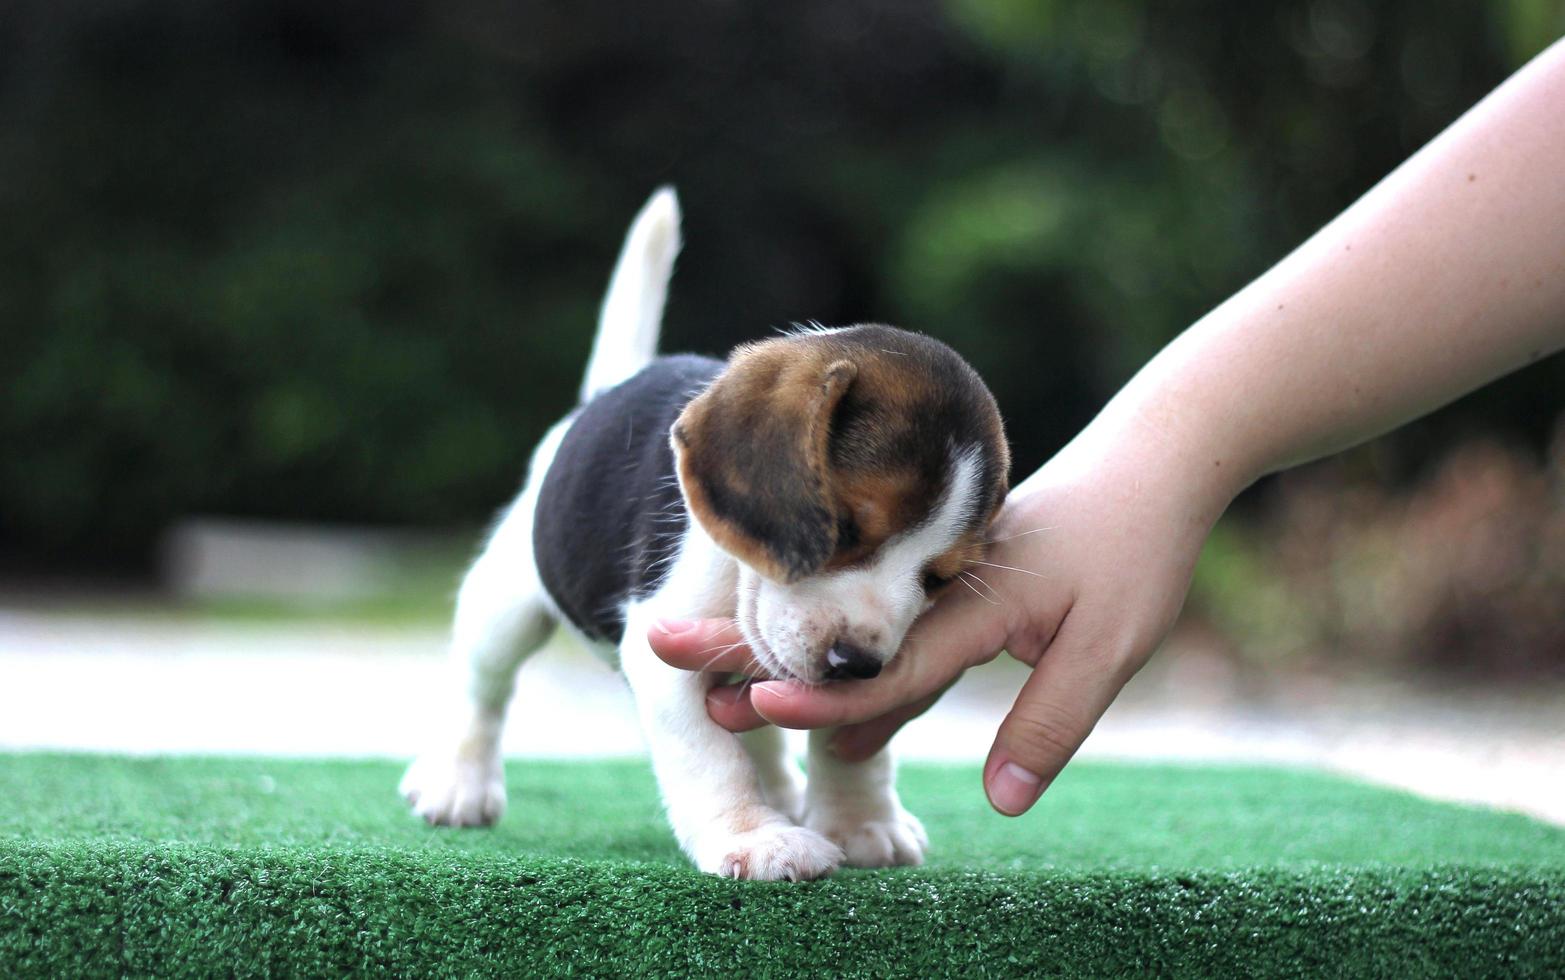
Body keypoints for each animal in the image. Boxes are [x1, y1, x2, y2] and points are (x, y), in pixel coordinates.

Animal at [403, 187, 1007, 876]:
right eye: (845, 527)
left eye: (940, 579)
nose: (857, 664)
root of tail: (602, 395)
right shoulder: (663, 650)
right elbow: (712, 758)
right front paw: (755, 837)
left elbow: (852, 746)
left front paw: (862, 821)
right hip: (505, 603)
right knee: (483, 689)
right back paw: (458, 781)